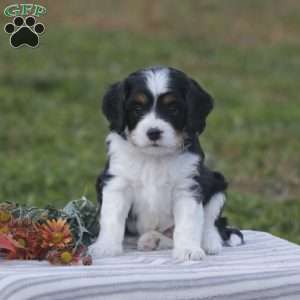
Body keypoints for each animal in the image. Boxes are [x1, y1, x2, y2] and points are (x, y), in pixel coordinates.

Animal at [89, 66, 244, 260]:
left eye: (173, 109)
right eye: (137, 108)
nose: (153, 133)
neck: (154, 157)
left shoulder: (188, 186)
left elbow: (189, 223)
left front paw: (188, 250)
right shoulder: (117, 183)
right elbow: (112, 218)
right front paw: (106, 246)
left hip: (217, 183)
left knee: (212, 223)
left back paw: (209, 242)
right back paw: (152, 239)